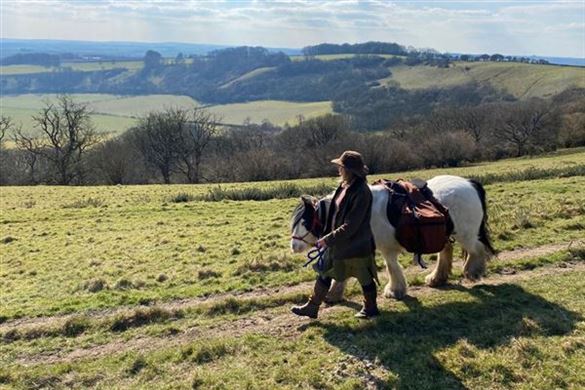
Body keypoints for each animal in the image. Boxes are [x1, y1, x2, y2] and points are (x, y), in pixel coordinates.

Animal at [290, 175, 496, 300]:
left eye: (304, 221)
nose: (293, 246)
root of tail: (470, 183)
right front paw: (334, 294)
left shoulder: (385, 248)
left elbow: (391, 267)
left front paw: (394, 290)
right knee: (446, 252)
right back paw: (437, 278)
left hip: (465, 234)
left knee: (477, 249)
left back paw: (473, 271)